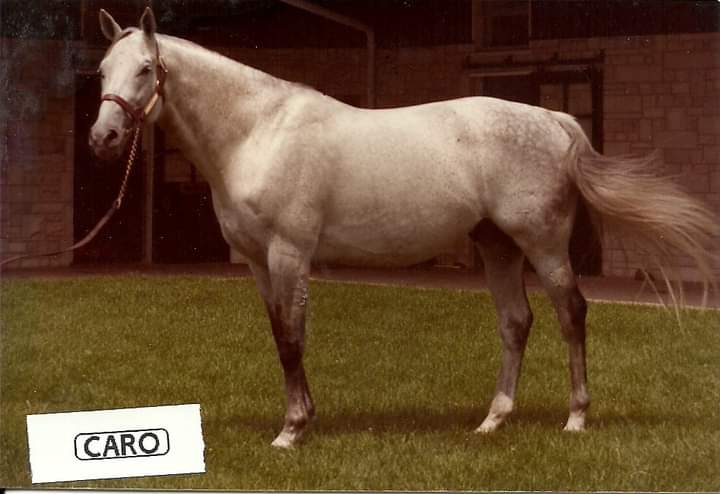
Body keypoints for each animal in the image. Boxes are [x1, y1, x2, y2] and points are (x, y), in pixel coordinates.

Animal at [89, 8, 717, 448]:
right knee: (516, 323)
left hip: (543, 245)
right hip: (497, 247)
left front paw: (291, 431)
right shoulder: (256, 263)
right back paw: (492, 422)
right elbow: (281, 337)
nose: (103, 138)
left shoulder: (289, 253)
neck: (259, 131)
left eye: (145, 68)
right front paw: (302, 419)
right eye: (101, 70)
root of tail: (557, 119)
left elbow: (293, 338)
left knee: (571, 314)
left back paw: (576, 420)